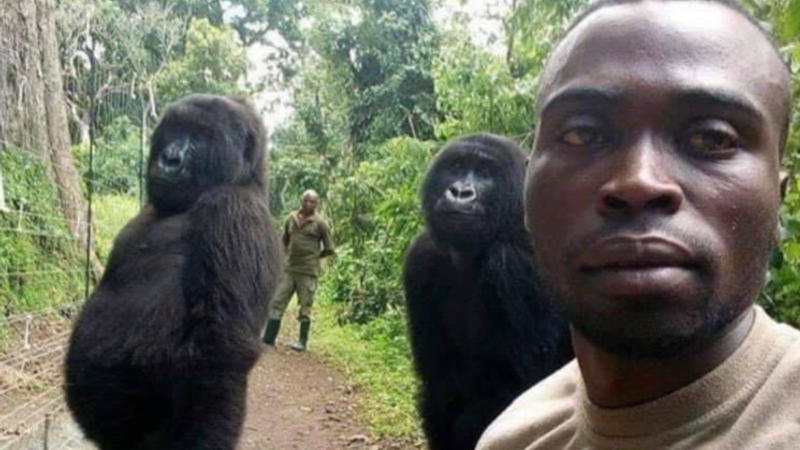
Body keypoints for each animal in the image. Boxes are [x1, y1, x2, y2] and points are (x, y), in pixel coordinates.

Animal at [404, 134, 572, 450]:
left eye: (484, 173)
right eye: (457, 167)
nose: (460, 192)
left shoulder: (514, 263)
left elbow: (516, 393)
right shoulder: (421, 256)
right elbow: (439, 388)